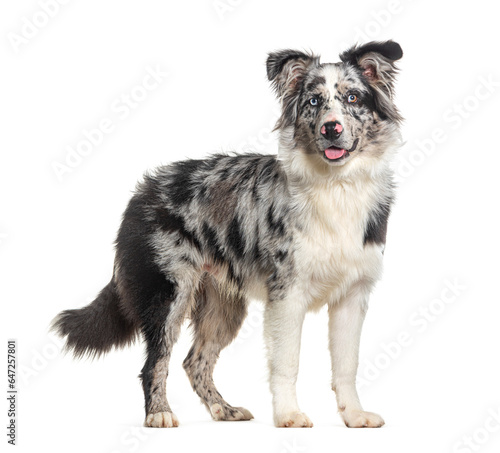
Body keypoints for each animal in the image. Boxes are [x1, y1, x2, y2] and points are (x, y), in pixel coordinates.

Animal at [51, 39, 402, 428]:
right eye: (314, 102)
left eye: (353, 98)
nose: (331, 129)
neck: (337, 187)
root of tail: (143, 190)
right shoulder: (287, 294)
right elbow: (286, 362)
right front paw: (289, 415)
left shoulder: (352, 295)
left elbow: (347, 364)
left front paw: (353, 415)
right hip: (169, 294)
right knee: (155, 362)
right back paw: (159, 413)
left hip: (223, 306)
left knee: (195, 361)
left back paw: (224, 409)